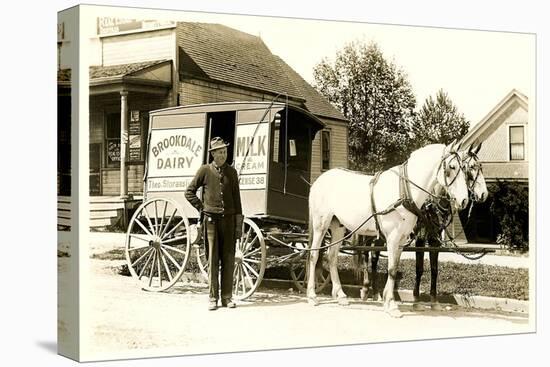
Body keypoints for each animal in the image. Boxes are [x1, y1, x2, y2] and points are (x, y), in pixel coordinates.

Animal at [308, 142, 472, 318]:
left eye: (464, 169)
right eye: (451, 167)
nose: (464, 200)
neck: (405, 190)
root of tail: (320, 180)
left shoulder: (401, 239)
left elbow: (394, 268)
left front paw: (387, 301)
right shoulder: (393, 238)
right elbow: (392, 269)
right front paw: (392, 305)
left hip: (338, 227)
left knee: (332, 257)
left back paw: (340, 295)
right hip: (320, 224)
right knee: (314, 255)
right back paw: (312, 296)